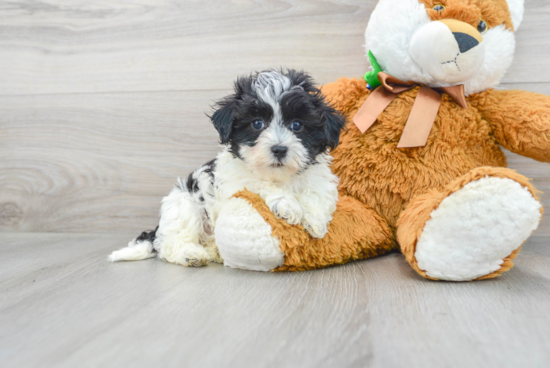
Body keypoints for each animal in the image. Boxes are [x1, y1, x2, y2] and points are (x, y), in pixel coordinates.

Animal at [109, 69, 344, 268]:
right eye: (257, 124)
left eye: (297, 125)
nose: (279, 149)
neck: (280, 177)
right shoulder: (237, 181)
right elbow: (259, 184)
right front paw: (287, 205)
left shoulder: (319, 178)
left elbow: (318, 192)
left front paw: (314, 221)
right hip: (183, 206)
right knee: (168, 244)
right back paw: (190, 254)